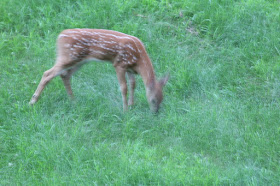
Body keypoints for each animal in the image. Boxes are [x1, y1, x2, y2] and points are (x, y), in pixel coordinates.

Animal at [29, 29, 168, 112]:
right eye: (153, 100)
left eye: (162, 99)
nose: (155, 112)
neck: (139, 59)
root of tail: (59, 36)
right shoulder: (119, 64)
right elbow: (124, 87)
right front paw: (125, 110)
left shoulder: (130, 68)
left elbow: (133, 84)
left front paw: (131, 105)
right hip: (69, 57)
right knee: (48, 73)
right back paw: (32, 101)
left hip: (80, 61)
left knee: (65, 75)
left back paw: (73, 101)